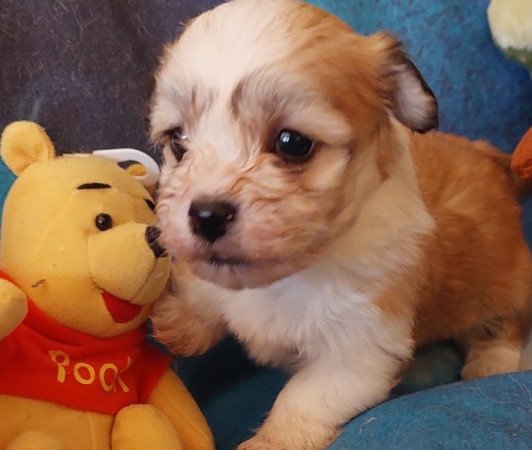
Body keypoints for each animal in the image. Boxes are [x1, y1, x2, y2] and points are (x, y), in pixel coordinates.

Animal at [149, 0, 532, 446]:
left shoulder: (357, 350)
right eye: (178, 142)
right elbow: (205, 292)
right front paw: (181, 321)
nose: (207, 214)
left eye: (292, 143)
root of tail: (497, 162)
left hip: (503, 280)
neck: (291, 273)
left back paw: (491, 364)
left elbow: (302, 399)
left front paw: (273, 440)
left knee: (505, 325)